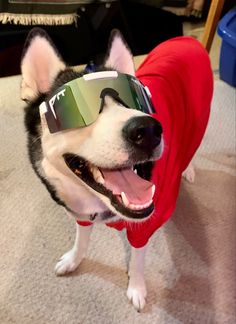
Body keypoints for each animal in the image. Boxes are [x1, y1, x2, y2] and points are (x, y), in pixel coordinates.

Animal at [20, 27, 212, 312]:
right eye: (75, 110)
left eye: (133, 101)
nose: (148, 130)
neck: (97, 201)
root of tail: (185, 38)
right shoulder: (80, 212)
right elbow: (81, 239)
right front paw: (73, 260)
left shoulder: (145, 224)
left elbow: (138, 259)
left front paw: (137, 287)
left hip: (200, 116)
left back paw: (187, 169)